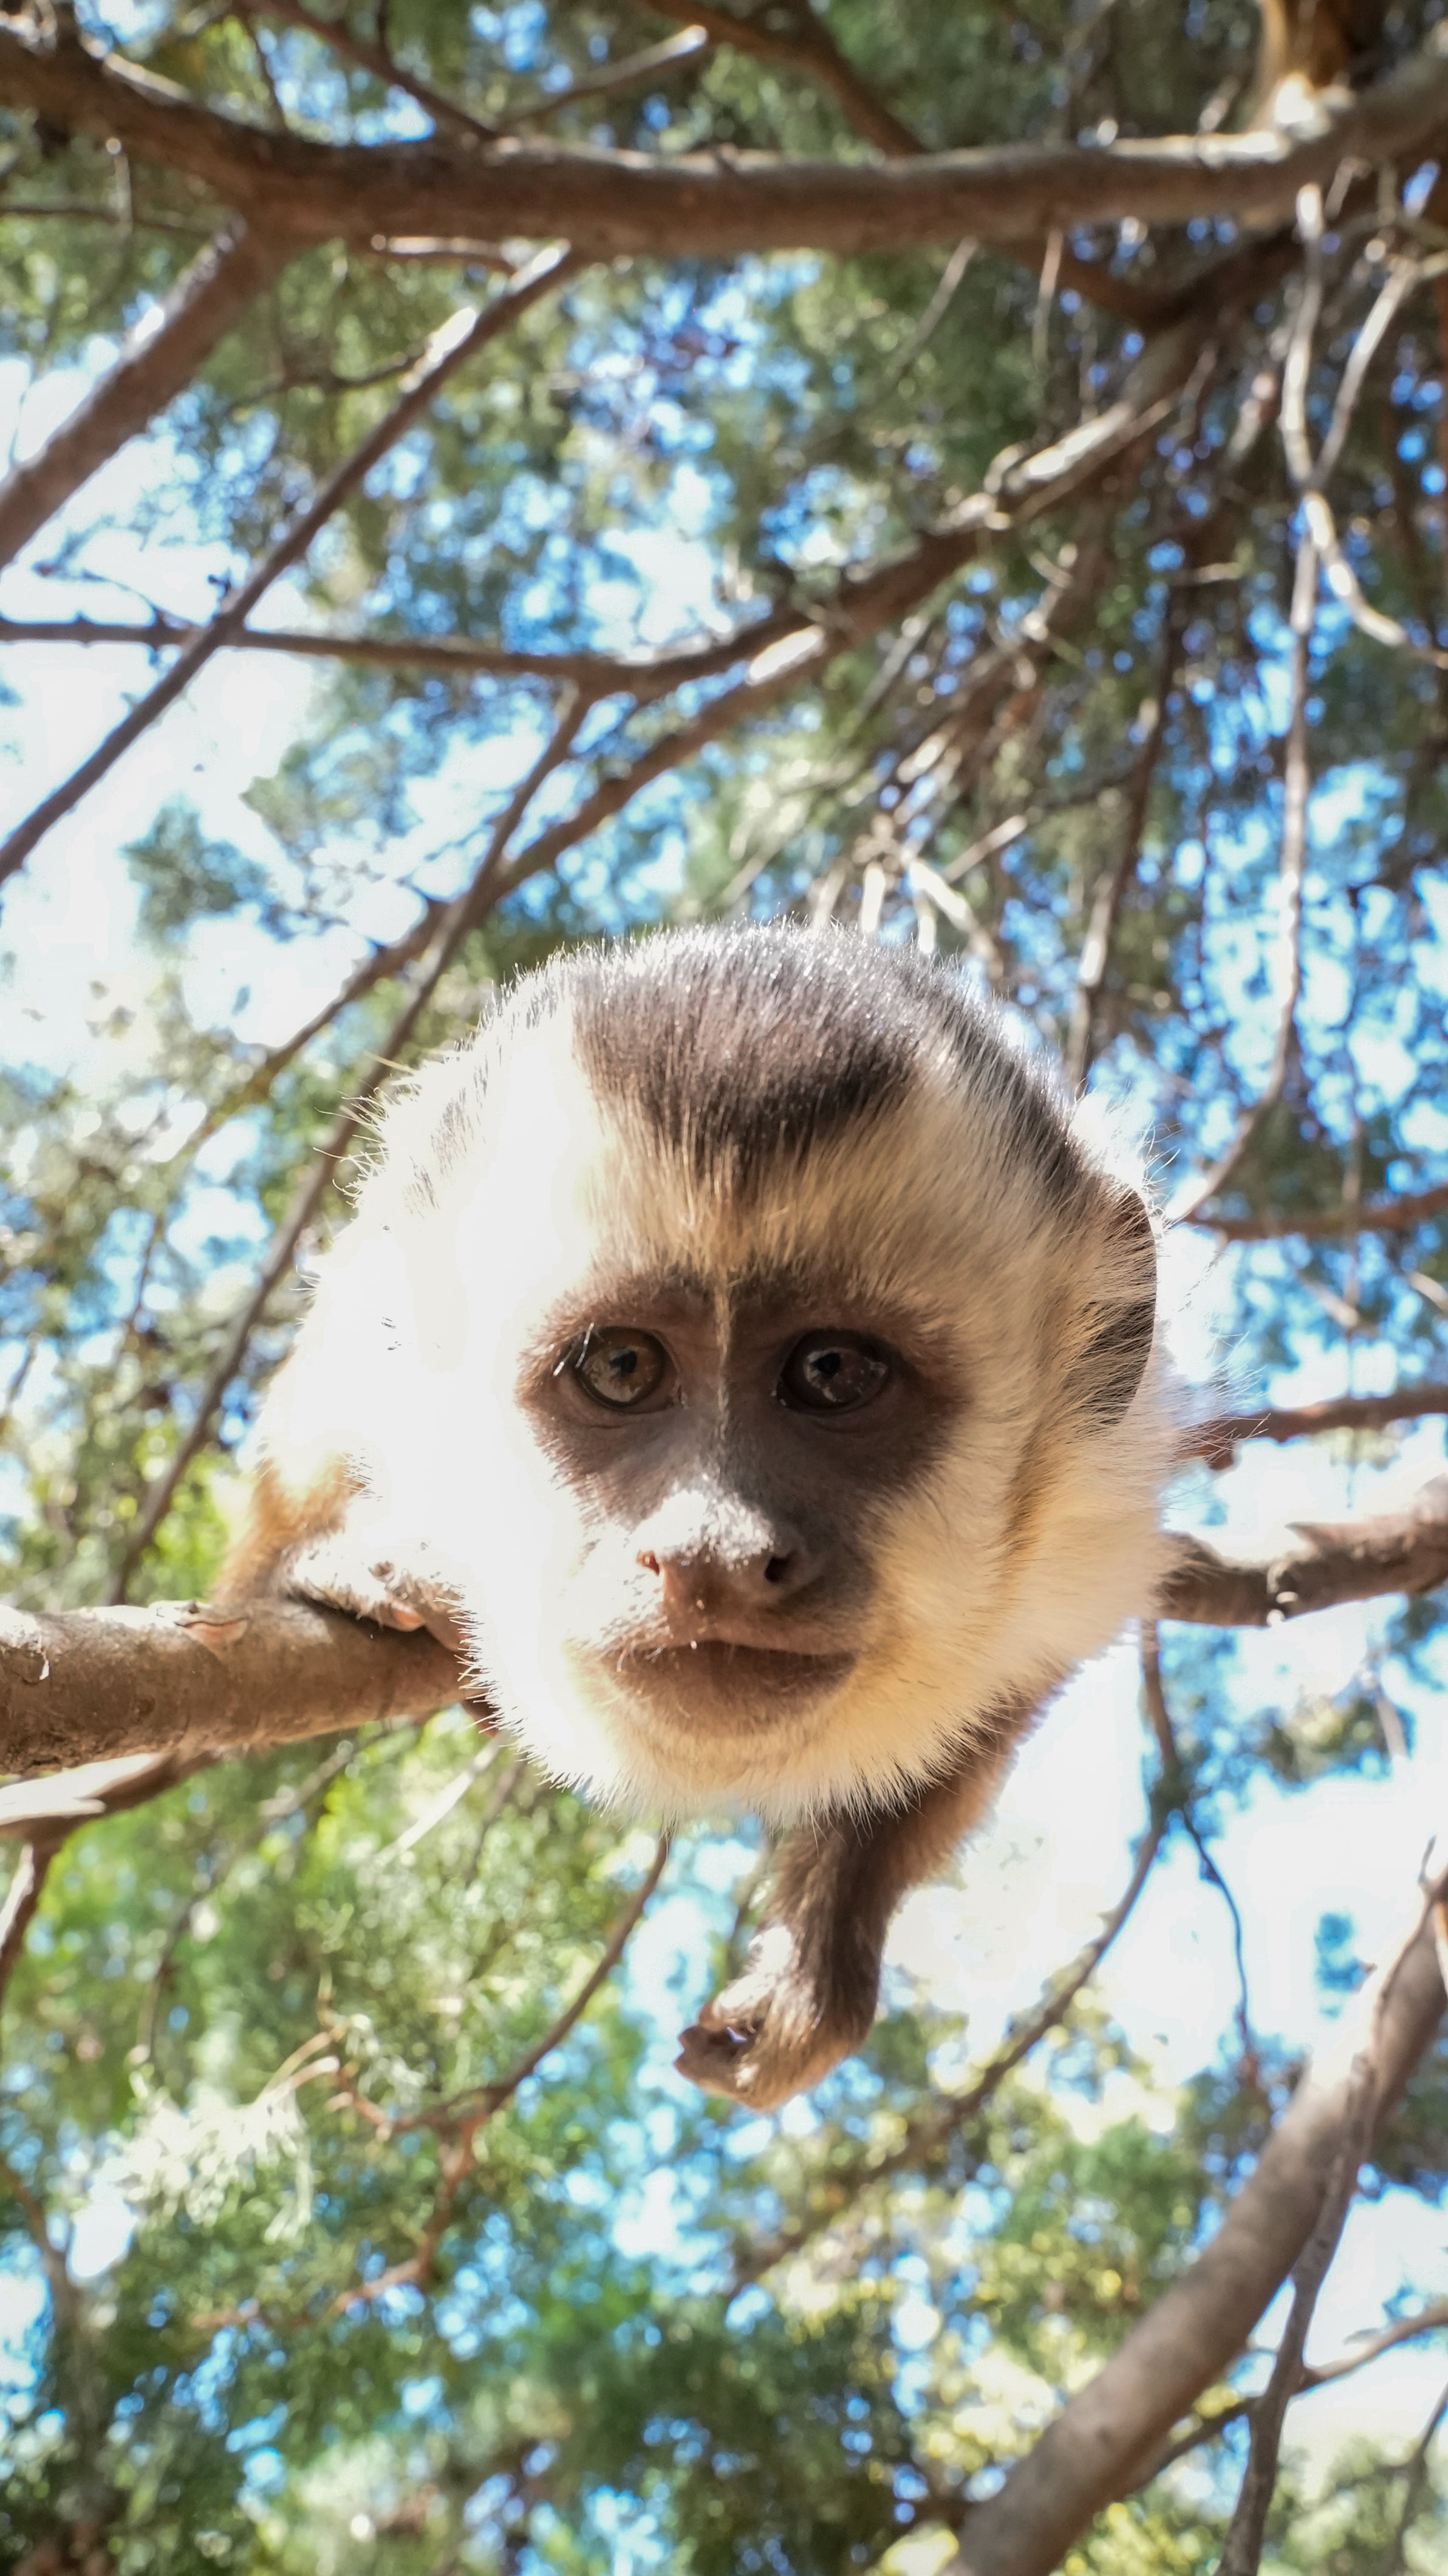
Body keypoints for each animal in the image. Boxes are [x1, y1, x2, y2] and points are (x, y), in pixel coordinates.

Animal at [228, 927, 1175, 2112]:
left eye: (831, 1372)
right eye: (622, 1369)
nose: (712, 1553)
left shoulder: (1081, 1530)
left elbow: (1004, 1692)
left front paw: (822, 1955)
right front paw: (323, 1566)